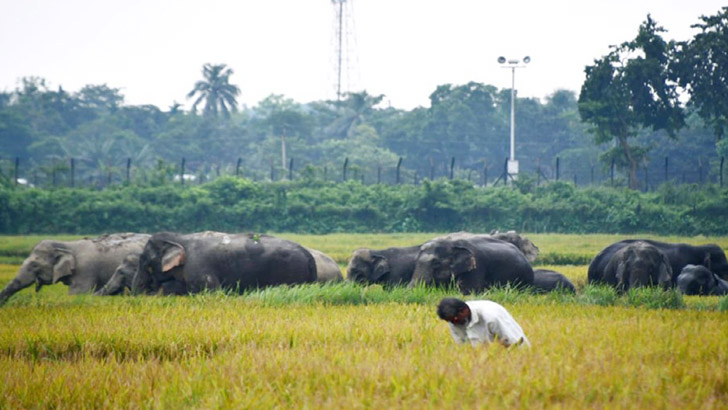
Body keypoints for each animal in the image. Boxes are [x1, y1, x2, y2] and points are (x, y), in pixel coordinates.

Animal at [131, 231, 316, 294]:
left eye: (144, 261)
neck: (180, 238)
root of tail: (307, 254)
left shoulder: (198, 267)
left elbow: (211, 292)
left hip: (292, 271)